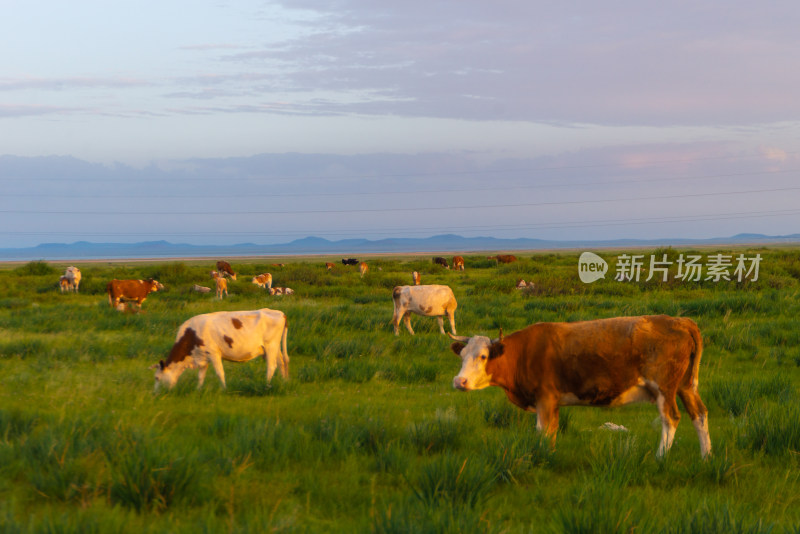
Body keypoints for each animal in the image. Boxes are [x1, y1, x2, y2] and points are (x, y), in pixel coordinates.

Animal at [150, 308, 288, 392]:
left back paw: (267, 385)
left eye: (157, 378)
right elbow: (201, 376)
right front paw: (198, 390)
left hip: (270, 346)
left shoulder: (214, 353)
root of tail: (280, 313)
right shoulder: (203, 357)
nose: (155, 394)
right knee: (281, 363)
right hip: (275, 347)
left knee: (271, 366)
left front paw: (224, 389)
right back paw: (284, 381)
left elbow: (219, 372)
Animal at [450, 316, 712, 458]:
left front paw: (542, 455)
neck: (524, 352)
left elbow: (542, 430)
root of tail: (680, 321)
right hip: (686, 387)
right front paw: (549, 454)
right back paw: (706, 457)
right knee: (699, 414)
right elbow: (552, 430)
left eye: (483, 356)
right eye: (462, 355)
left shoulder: (545, 398)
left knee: (671, 418)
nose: (459, 381)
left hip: (664, 389)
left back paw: (659, 458)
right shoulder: (552, 402)